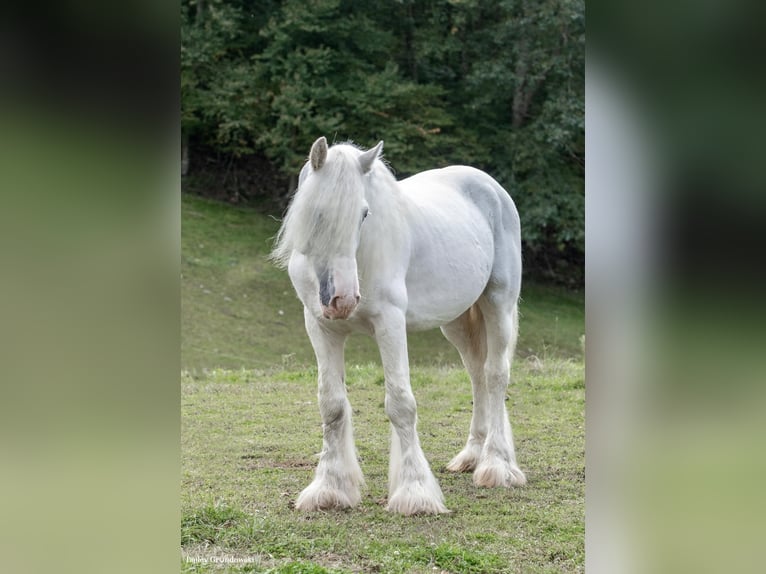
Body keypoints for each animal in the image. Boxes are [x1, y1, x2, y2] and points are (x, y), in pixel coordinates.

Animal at [272, 136, 528, 516]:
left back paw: (496, 466)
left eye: (364, 214)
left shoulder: (389, 323)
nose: (342, 299)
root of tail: (491, 186)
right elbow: (331, 406)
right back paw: (471, 456)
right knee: (478, 377)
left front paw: (415, 492)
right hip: (456, 323)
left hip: (498, 304)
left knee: (496, 376)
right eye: (317, 212)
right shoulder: (320, 327)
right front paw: (329, 489)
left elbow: (401, 403)